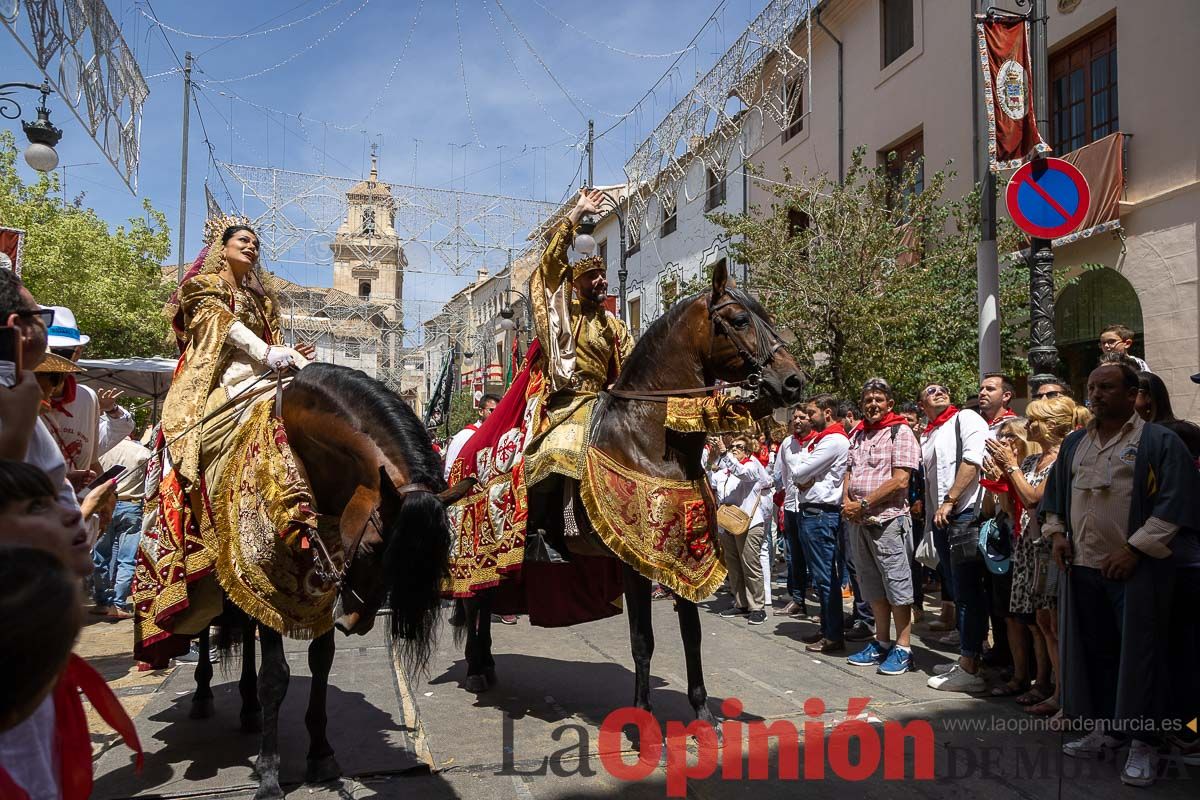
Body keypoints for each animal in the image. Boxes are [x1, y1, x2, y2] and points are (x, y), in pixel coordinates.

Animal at [180, 367, 465, 800]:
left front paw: (321, 755)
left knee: (244, 630)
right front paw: (269, 776)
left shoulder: (322, 588)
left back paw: (248, 708)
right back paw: (202, 694)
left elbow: (322, 661)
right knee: (207, 631)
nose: (354, 623)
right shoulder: (266, 582)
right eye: (372, 548)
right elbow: (275, 676)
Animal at [458, 262, 806, 753]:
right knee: (476, 600)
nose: (793, 381)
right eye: (740, 320)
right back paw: (475, 668)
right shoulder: (634, 561)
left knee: (487, 600)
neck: (650, 438)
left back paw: (486, 663)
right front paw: (642, 722)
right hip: (485, 546)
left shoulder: (680, 554)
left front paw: (703, 715)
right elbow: (643, 640)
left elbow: (692, 634)